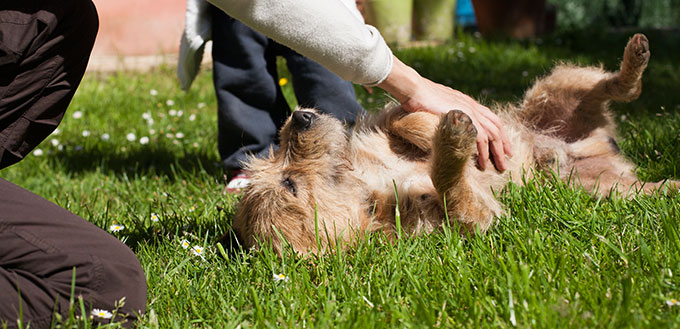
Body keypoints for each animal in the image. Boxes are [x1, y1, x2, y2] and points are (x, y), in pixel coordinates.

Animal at [231, 34, 676, 254]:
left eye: (274, 156)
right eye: (289, 184)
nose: (298, 117)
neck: (369, 185)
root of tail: (601, 146)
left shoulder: (389, 121)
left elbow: (409, 119)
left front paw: (445, 131)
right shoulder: (478, 218)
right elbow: (451, 186)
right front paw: (454, 144)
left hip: (558, 86)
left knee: (616, 86)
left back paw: (635, 57)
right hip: (603, 191)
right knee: (643, 185)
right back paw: (670, 186)